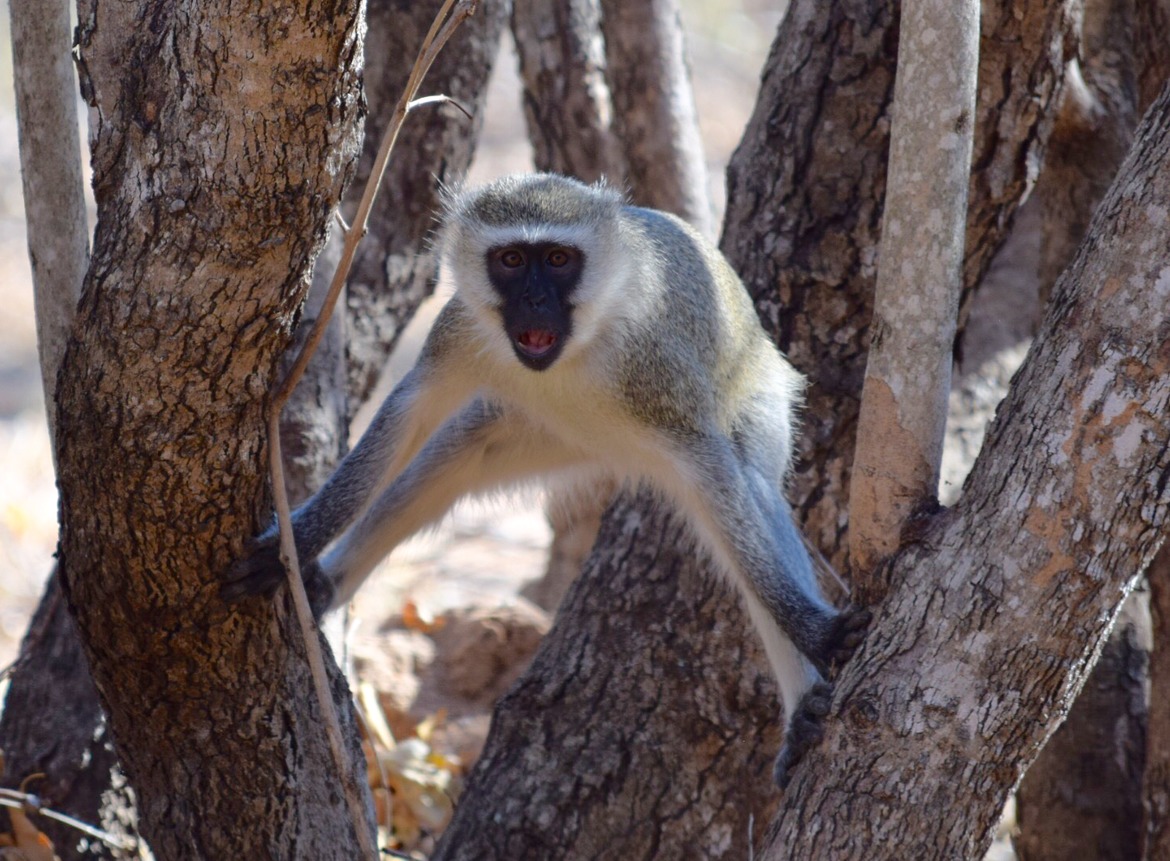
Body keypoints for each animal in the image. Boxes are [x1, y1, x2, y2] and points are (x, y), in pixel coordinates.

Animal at [223, 173, 869, 788]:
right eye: (512, 260)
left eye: (558, 259)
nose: (534, 298)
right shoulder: (459, 330)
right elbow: (408, 413)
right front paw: (293, 547)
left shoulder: (657, 375)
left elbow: (718, 477)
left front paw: (815, 632)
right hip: (542, 431)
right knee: (456, 453)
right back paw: (326, 583)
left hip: (754, 392)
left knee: (752, 489)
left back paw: (803, 706)